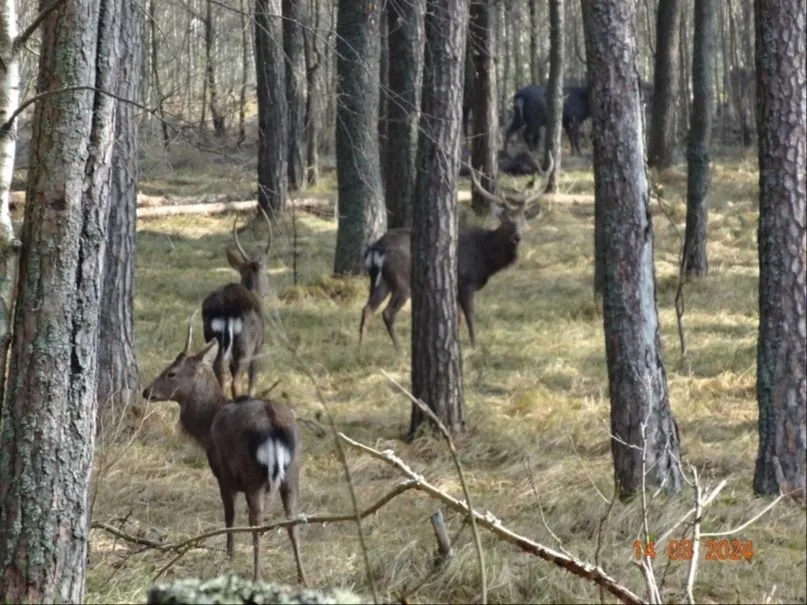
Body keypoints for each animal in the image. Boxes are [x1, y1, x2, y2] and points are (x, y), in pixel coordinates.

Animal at [201, 212, 272, 396]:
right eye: (266, 272)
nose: (267, 291)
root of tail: (227, 308)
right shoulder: (259, 346)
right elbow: (253, 380)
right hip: (244, 345)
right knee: (236, 379)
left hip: (212, 337)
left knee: (218, 370)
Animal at [362, 155, 556, 354]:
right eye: (507, 222)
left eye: (523, 221)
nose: (518, 237)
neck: (485, 257)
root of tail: (377, 248)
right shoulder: (466, 282)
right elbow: (469, 316)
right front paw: (474, 346)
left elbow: (459, 319)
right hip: (401, 279)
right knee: (387, 312)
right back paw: (400, 350)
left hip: (382, 279)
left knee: (367, 309)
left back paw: (361, 346)